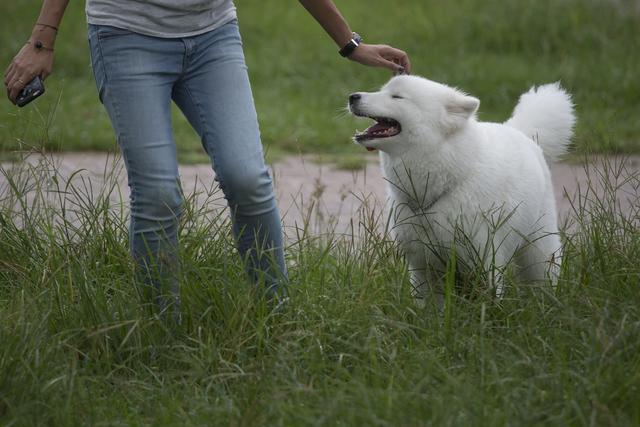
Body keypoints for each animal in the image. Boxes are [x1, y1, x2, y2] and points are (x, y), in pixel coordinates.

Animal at [348, 75, 576, 306]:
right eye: (383, 90)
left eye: (397, 97)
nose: (352, 97)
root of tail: (519, 132)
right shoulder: (424, 267)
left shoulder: (484, 261)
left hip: (538, 249)